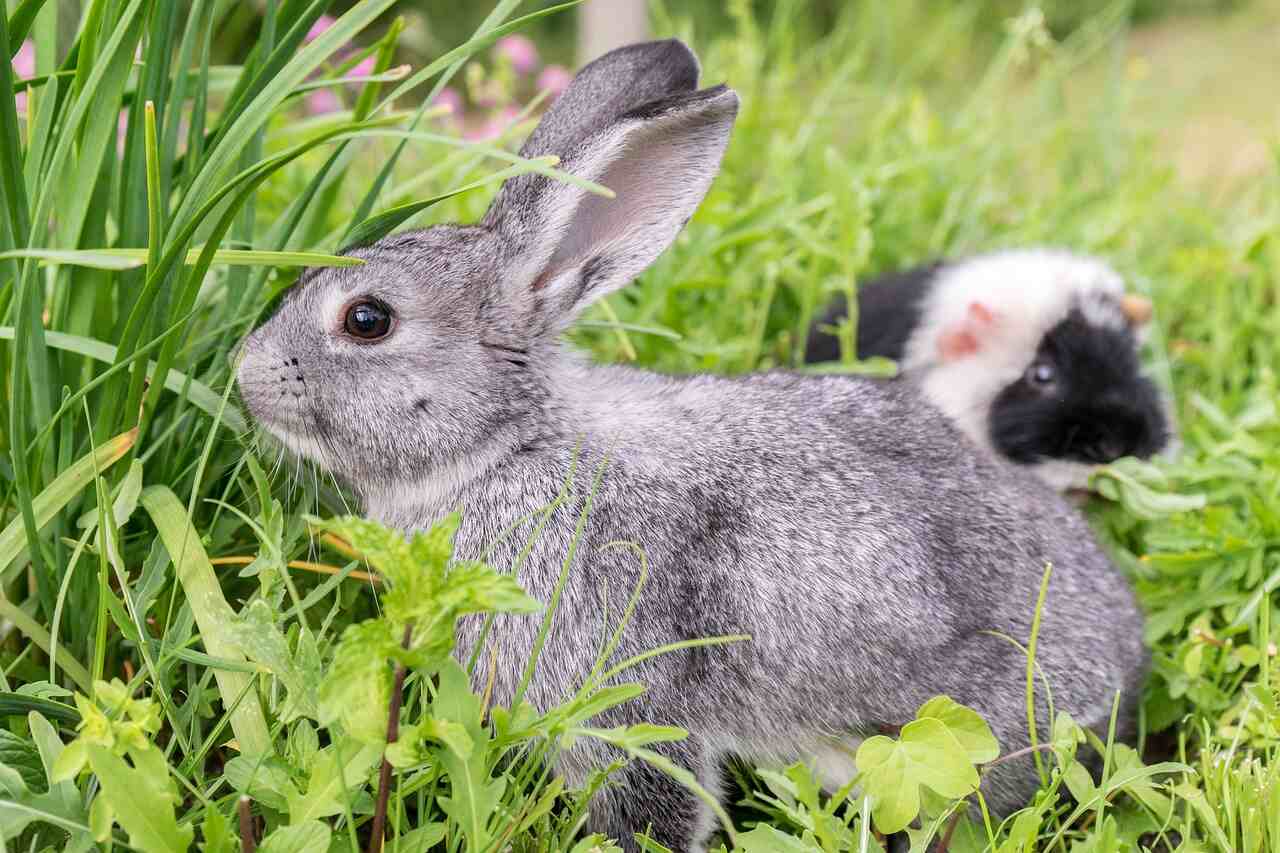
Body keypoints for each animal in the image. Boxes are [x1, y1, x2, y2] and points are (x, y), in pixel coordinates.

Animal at [240, 39, 1152, 850]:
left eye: (368, 319)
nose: (246, 373)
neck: (512, 444)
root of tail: (1128, 656)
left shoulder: (622, 696)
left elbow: (649, 800)